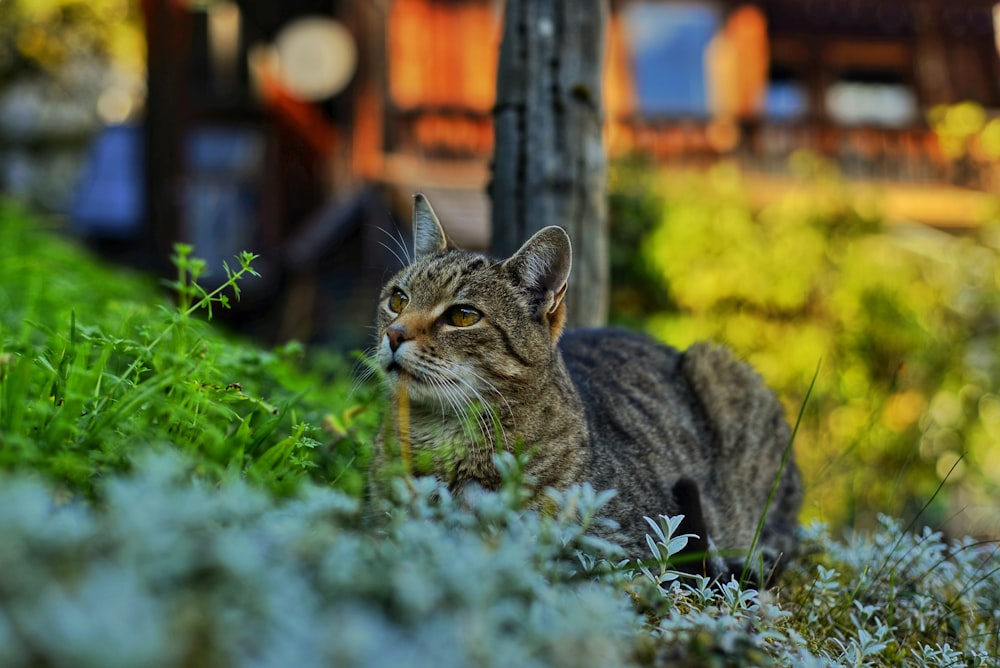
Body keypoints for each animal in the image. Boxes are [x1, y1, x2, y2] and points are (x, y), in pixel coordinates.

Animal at [372, 193, 800, 584]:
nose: (394, 334)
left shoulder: (620, 551)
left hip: (716, 365)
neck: (441, 438)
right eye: (399, 299)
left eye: (463, 316)